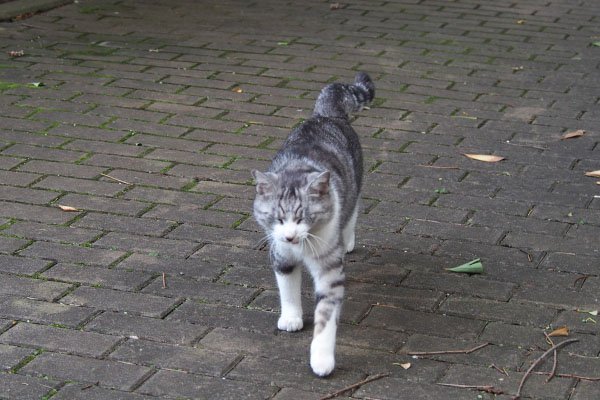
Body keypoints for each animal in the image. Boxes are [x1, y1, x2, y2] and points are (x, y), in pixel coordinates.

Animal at [250, 71, 372, 376]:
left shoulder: (330, 271)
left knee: (353, 210)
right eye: (278, 218)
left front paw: (321, 359)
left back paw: (348, 239)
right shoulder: (281, 255)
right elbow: (288, 290)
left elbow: (326, 316)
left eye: (303, 217)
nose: (290, 236)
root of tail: (325, 114)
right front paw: (292, 318)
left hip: (356, 182)